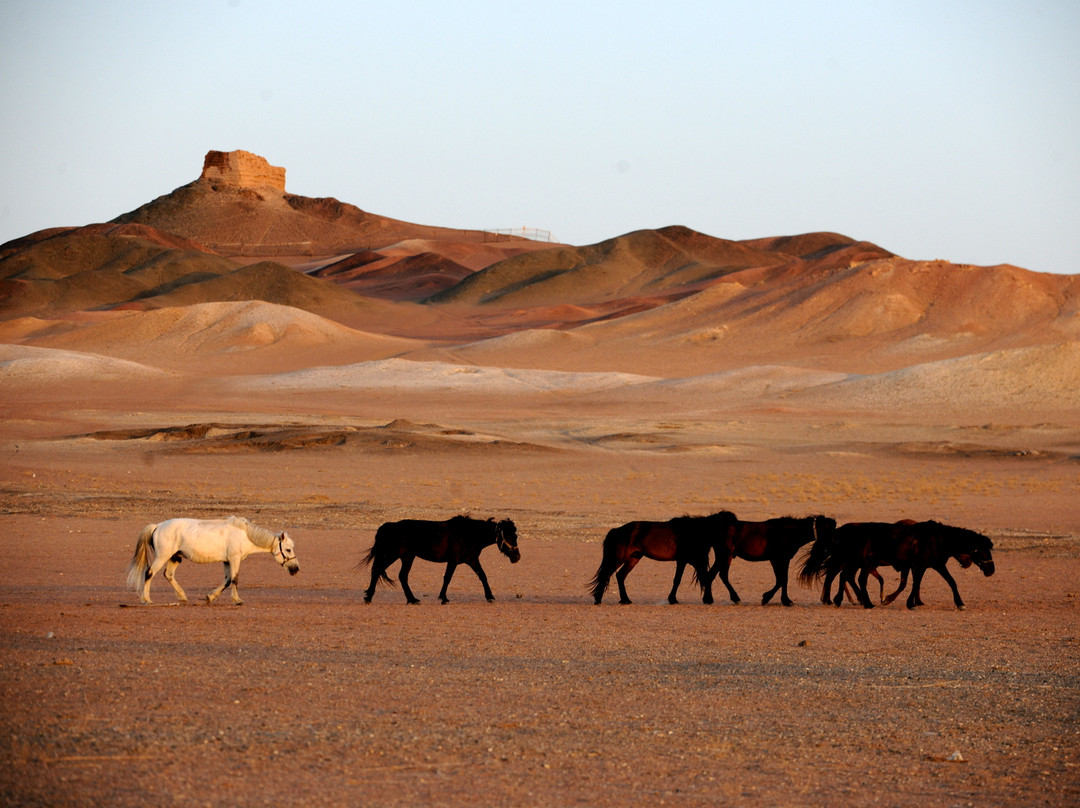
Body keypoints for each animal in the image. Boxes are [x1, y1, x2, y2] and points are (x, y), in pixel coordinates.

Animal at [126, 518, 300, 604]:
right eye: (288, 549)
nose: (296, 569)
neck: (244, 534)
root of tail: (158, 525)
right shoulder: (234, 559)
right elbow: (235, 579)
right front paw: (237, 599)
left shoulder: (227, 561)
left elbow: (228, 580)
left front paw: (210, 597)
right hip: (163, 556)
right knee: (149, 572)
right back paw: (146, 599)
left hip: (175, 557)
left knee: (168, 575)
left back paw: (182, 596)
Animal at [358, 514, 518, 604]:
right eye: (509, 536)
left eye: (515, 535)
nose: (517, 557)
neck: (468, 534)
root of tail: (386, 527)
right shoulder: (453, 561)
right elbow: (447, 578)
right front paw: (443, 598)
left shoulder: (472, 560)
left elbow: (483, 576)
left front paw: (490, 597)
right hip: (393, 554)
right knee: (377, 570)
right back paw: (369, 597)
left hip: (407, 557)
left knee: (401, 576)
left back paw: (412, 599)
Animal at [587, 514, 738, 604]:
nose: (731, 550)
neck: (693, 531)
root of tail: (616, 530)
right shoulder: (685, 560)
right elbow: (680, 579)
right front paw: (674, 599)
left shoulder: (687, 561)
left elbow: (692, 578)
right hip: (619, 558)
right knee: (606, 574)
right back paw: (598, 599)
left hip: (634, 557)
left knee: (620, 575)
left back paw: (625, 600)